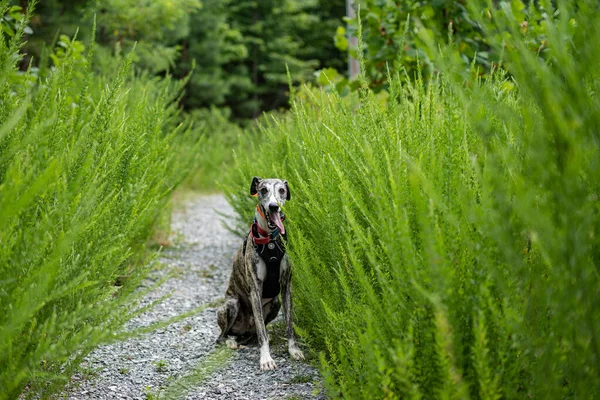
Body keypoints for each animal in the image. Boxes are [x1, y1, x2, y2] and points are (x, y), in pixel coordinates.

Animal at [217, 177, 304, 370]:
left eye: (282, 191)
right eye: (263, 190)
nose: (274, 207)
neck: (270, 240)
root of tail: (245, 329)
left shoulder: (286, 286)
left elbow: (289, 325)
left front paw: (293, 350)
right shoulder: (255, 289)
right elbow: (262, 332)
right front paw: (266, 359)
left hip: (275, 303)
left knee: (254, 331)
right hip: (231, 305)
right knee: (224, 335)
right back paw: (231, 341)